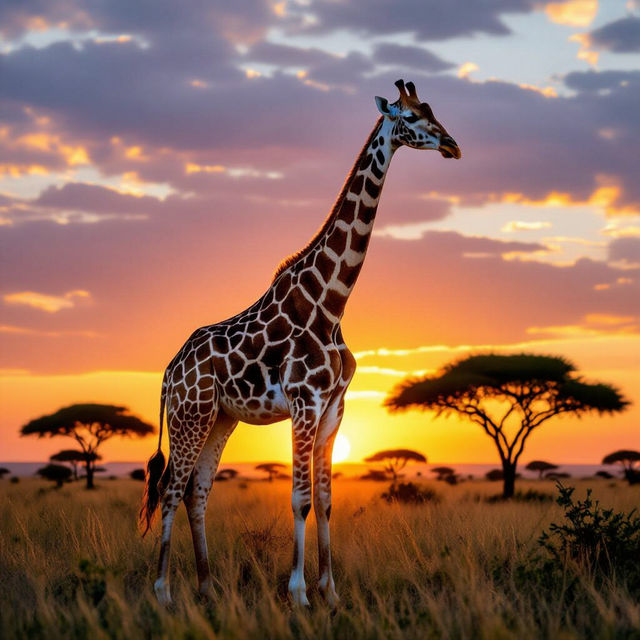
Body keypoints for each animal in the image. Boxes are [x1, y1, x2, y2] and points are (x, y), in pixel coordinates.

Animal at [141, 79, 461, 608]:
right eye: (412, 118)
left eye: (433, 110)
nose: (453, 146)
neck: (331, 303)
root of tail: (168, 373)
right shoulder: (304, 401)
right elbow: (300, 498)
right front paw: (298, 592)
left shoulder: (335, 405)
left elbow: (328, 499)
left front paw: (331, 591)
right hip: (190, 414)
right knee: (170, 488)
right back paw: (164, 592)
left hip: (220, 417)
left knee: (196, 490)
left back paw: (208, 587)